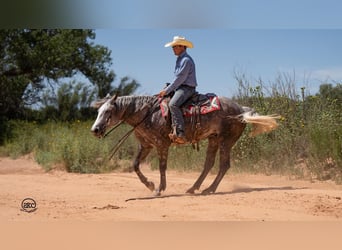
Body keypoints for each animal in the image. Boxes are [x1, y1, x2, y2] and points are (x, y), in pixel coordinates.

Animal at [91, 94, 280, 195]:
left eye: (108, 111)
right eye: (98, 111)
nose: (95, 130)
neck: (146, 114)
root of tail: (241, 109)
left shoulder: (162, 145)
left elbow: (162, 167)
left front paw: (159, 188)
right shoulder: (145, 146)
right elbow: (135, 165)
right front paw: (150, 185)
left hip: (226, 141)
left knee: (223, 165)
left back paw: (209, 189)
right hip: (214, 139)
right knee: (209, 164)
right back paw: (194, 187)